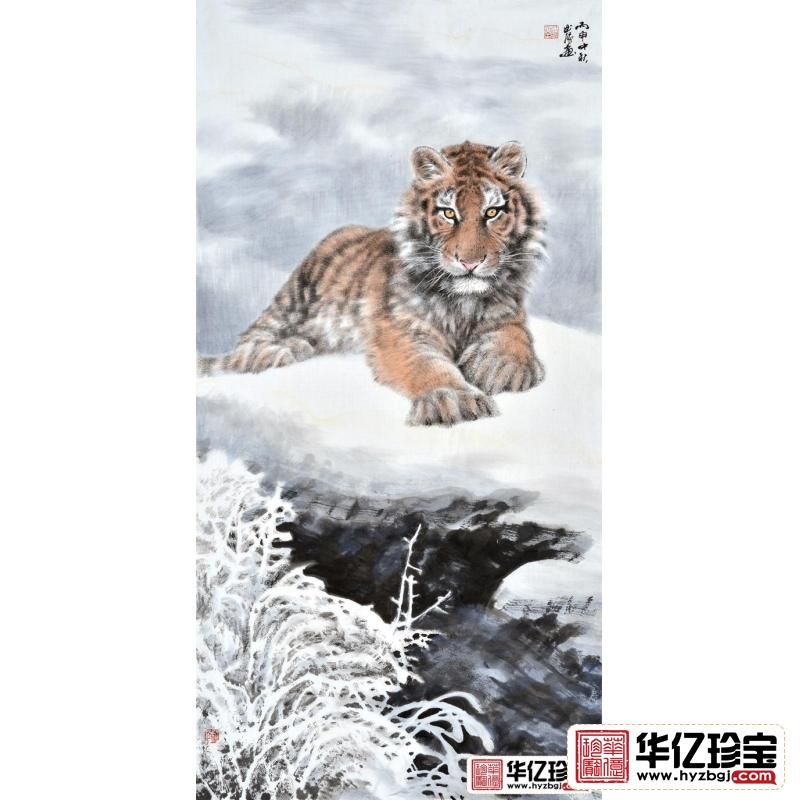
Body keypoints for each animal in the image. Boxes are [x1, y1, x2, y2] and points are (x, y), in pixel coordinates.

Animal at [200, 140, 547, 426]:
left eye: (492, 212)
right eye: (448, 213)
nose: (470, 262)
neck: (464, 301)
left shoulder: (507, 315)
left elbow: (514, 340)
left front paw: (503, 369)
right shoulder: (399, 331)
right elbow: (428, 366)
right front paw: (453, 399)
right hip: (292, 298)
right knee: (249, 340)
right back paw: (275, 352)